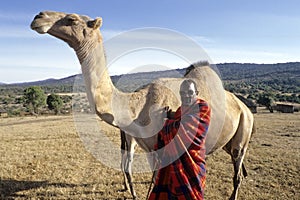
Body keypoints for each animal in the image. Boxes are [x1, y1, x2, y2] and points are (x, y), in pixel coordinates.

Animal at [31, 11, 253, 200]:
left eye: (72, 19)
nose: (38, 17)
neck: (136, 107)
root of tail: (245, 109)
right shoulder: (149, 148)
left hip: (243, 132)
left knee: (237, 169)